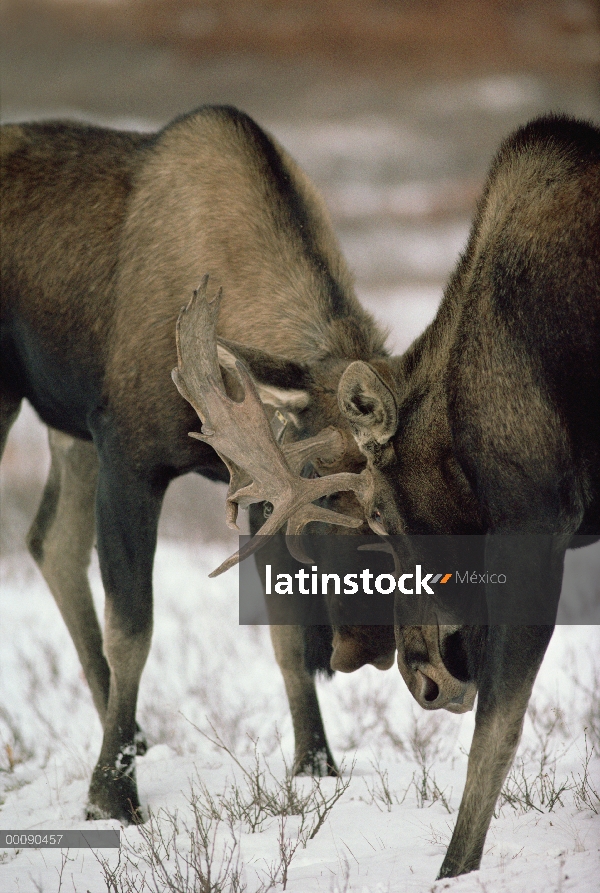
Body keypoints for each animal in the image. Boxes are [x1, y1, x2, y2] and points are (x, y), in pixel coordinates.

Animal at [0, 106, 596, 880]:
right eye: (340, 515)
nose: (363, 653)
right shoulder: (128, 451)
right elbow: (133, 625)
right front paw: (112, 796)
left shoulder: (241, 480)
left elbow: (281, 637)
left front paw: (316, 766)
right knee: (58, 548)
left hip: (62, 425)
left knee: (50, 539)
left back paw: (133, 729)